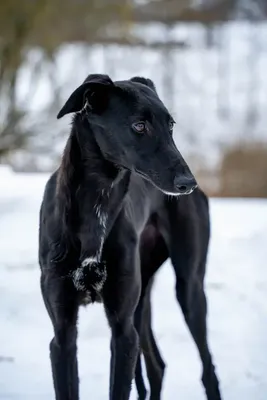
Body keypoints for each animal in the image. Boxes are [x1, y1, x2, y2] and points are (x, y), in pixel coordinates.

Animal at [38, 73, 222, 398]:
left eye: (170, 125)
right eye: (139, 126)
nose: (188, 183)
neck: (96, 205)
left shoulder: (123, 331)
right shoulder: (62, 334)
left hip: (188, 287)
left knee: (207, 370)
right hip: (141, 302)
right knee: (157, 367)